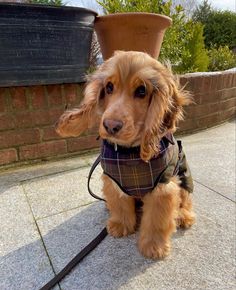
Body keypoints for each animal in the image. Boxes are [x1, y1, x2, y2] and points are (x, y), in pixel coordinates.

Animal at [55, 51, 195, 260]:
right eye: (109, 87)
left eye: (142, 91)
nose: (110, 126)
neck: (129, 154)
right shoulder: (113, 180)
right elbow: (120, 206)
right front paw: (120, 226)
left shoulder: (163, 187)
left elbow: (156, 219)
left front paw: (154, 246)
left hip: (184, 177)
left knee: (186, 201)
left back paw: (184, 217)